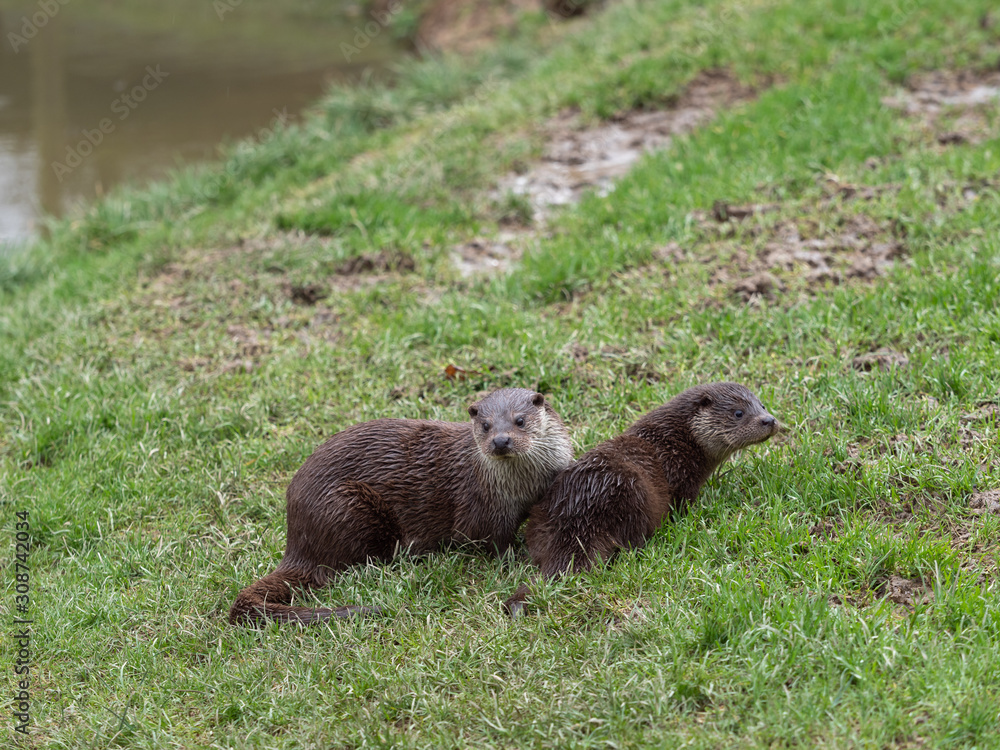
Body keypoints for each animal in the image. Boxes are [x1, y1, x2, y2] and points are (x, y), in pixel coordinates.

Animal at [230, 388, 574, 625]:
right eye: (486, 425)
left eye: (520, 420)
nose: (501, 441)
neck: (522, 487)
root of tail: (297, 540)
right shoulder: (483, 508)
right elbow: (492, 542)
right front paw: (519, 559)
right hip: (347, 506)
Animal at [504, 382, 780, 616]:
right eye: (738, 413)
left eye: (762, 405)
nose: (769, 420)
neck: (675, 444)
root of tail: (576, 515)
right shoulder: (682, 483)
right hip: (634, 498)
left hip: (541, 517)